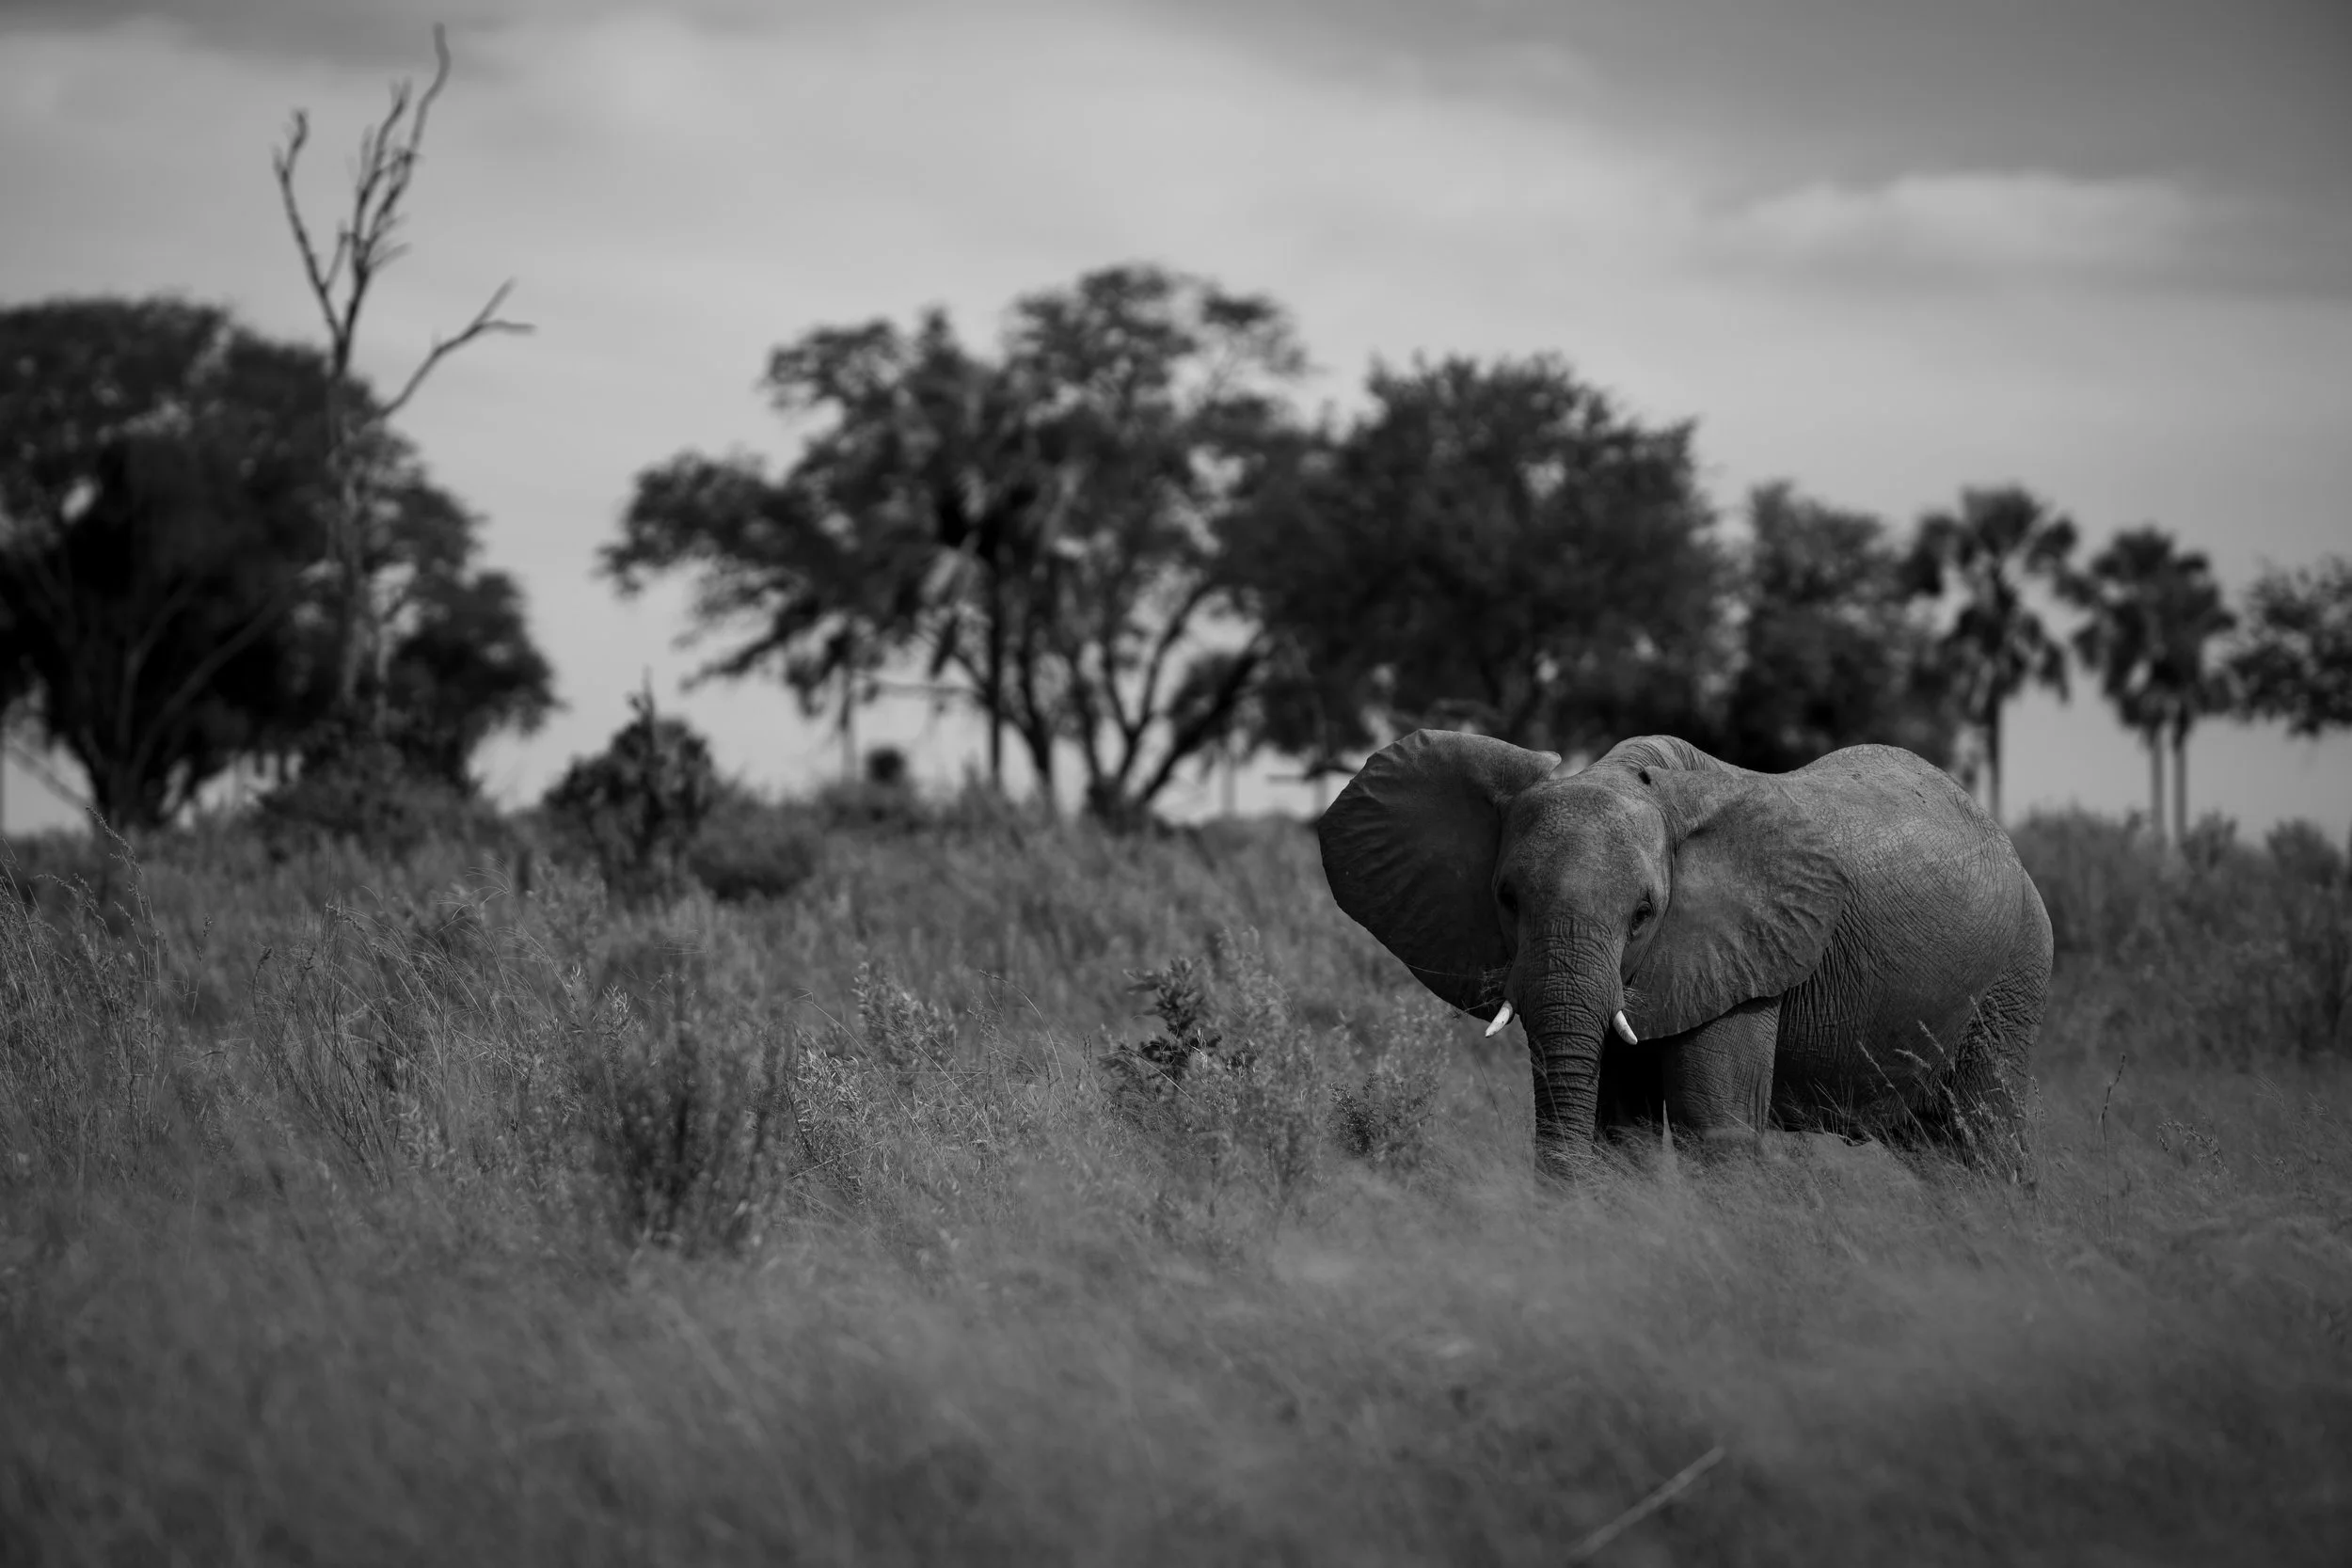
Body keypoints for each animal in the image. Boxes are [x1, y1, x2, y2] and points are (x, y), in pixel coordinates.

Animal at [1318, 730, 2051, 1177]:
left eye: (1644, 913)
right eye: (1506, 899)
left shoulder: (1747, 955)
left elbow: (1714, 1129)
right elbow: (1623, 1132)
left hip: (2015, 977)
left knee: (1984, 1143)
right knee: (1937, 1154)